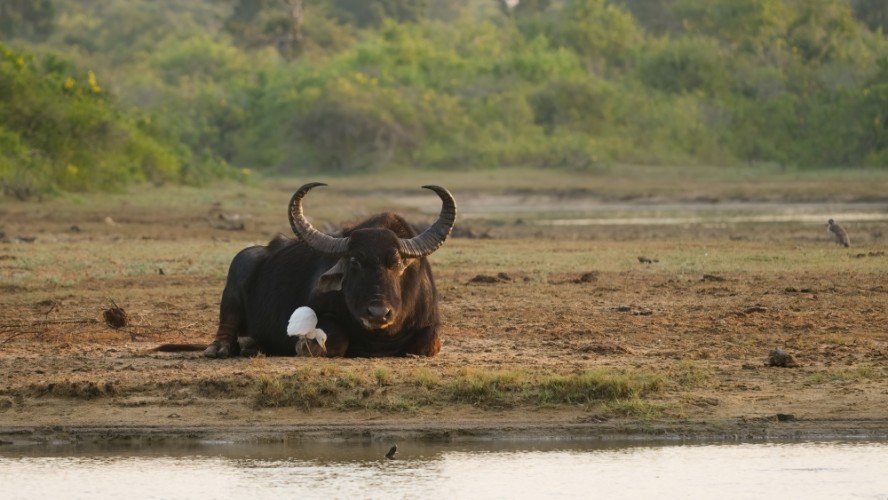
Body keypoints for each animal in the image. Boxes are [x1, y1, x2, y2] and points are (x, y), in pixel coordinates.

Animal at [198, 182, 454, 358]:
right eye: (354, 262)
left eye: (397, 263)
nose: (378, 313)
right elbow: (337, 337)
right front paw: (305, 346)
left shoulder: (430, 324)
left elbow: (428, 342)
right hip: (235, 281)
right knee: (226, 326)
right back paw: (222, 348)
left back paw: (252, 345)